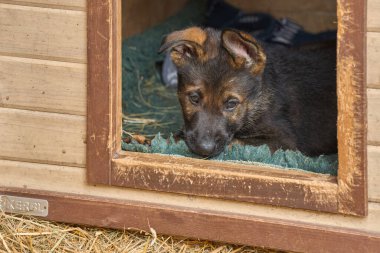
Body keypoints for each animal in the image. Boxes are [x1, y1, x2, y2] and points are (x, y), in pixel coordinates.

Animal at [159, 28, 336, 158]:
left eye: (231, 104)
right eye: (194, 98)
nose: (204, 149)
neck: (256, 101)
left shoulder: (285, 141)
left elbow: (236, 142)